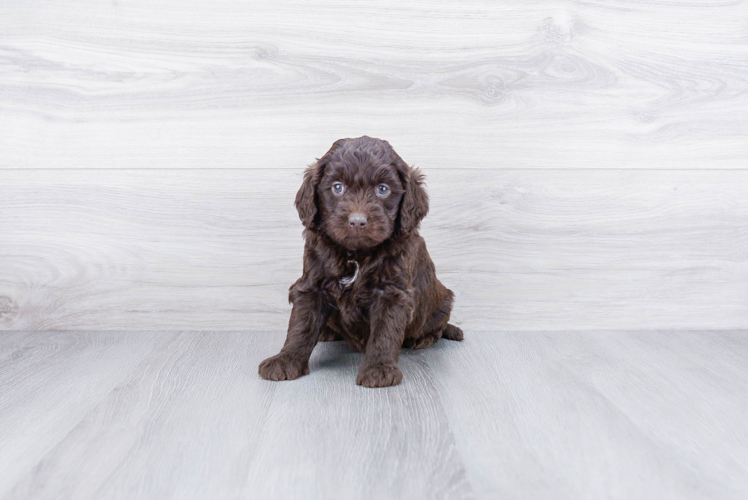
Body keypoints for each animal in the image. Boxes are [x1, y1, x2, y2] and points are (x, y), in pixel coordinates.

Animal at [260, 136, 464, 386]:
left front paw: (379, 368)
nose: (357, 221)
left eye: (383, 189)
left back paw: (421, 339)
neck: (355, 255)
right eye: (337, 187)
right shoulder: (312, 285)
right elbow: (301, 325)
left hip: (442, 301)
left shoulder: (391, 292)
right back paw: (327, 332)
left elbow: (385, 331)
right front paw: (285, 359)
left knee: (438, 326)